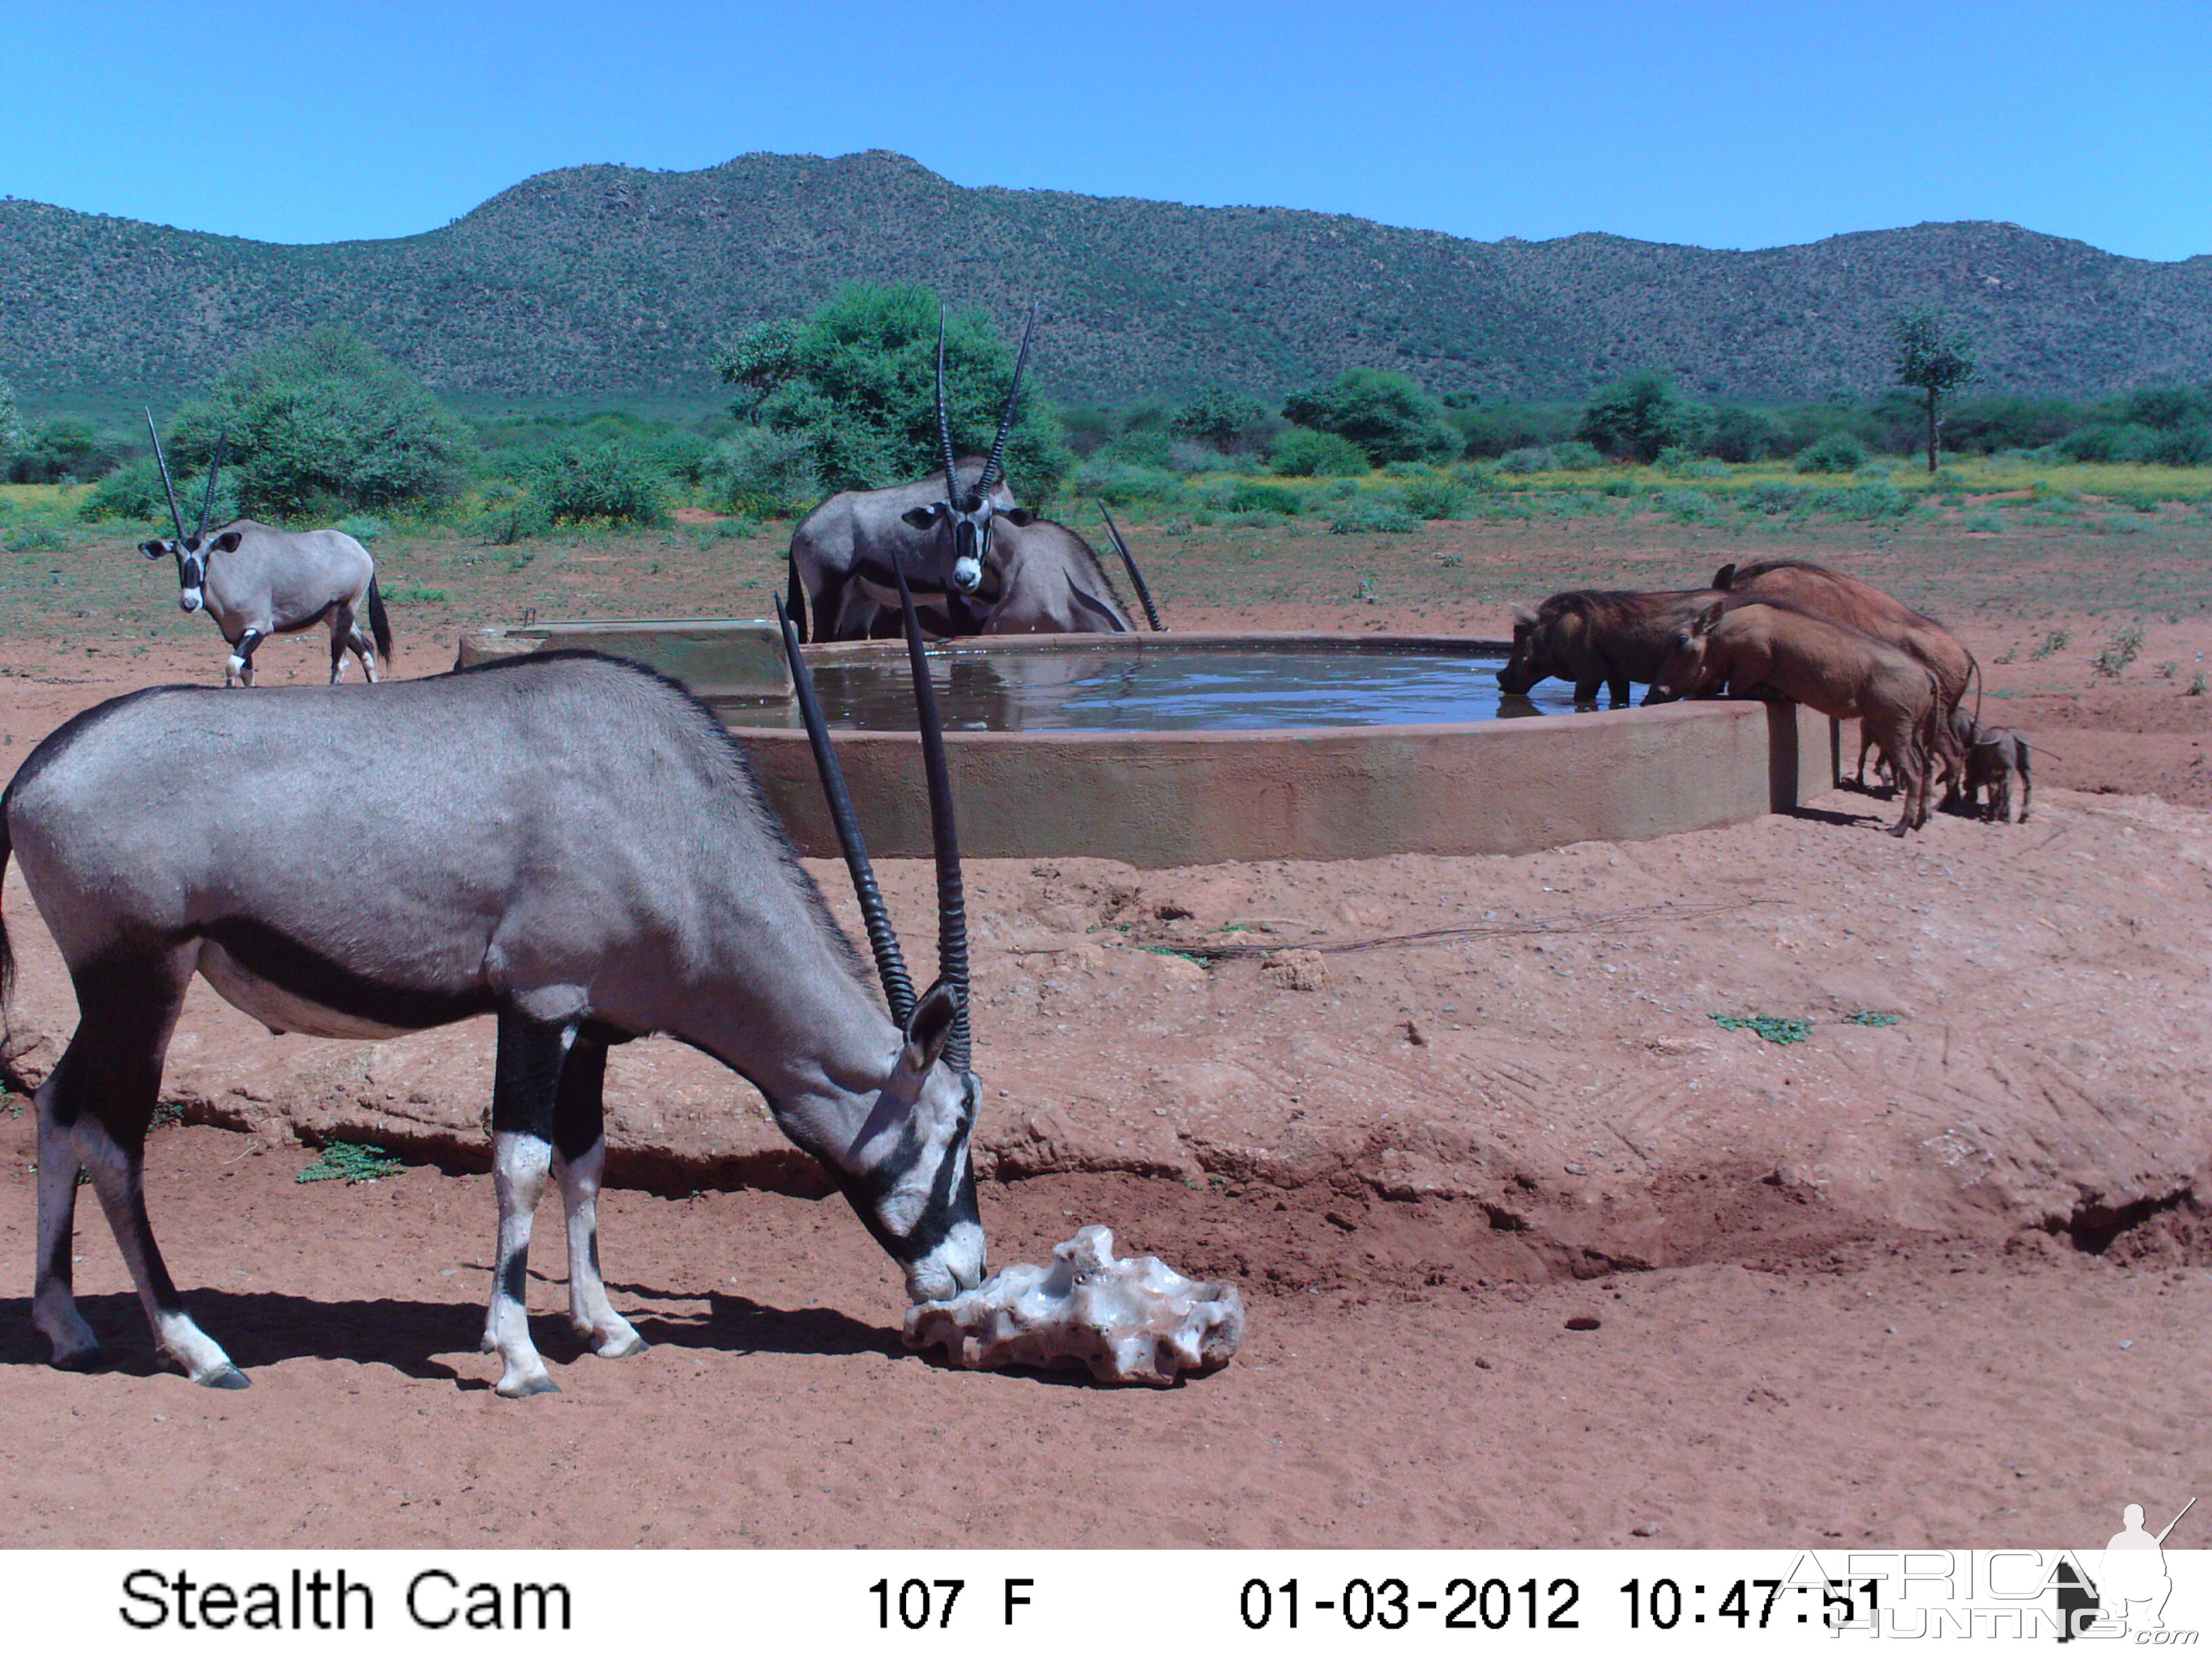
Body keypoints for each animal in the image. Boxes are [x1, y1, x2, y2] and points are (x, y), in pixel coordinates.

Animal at [0, 579, 986, 1397]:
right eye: (950, 1127)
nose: (969, 1273)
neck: (673, 820)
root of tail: (35, 773)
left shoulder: (592, 1022)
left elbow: (586, 1159)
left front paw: (607, 1326)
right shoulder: (539, 1003)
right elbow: (522, 1163)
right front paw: (518, 1356)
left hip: (114, 994)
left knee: (56, 1106)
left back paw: (67, 1326)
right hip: (142, 981)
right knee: (114, 1140)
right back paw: (195, 1347)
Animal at [138, 413, 393, 690]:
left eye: (207, 555)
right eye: (178, 557)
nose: (190, 602)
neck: (231, 570)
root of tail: (361, 551)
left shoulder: (258, 628)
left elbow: (231, 667)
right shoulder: (234, 634)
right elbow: (245, 673)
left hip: (346, 609)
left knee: (340, 662)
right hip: (332, 615)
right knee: (366, 649)